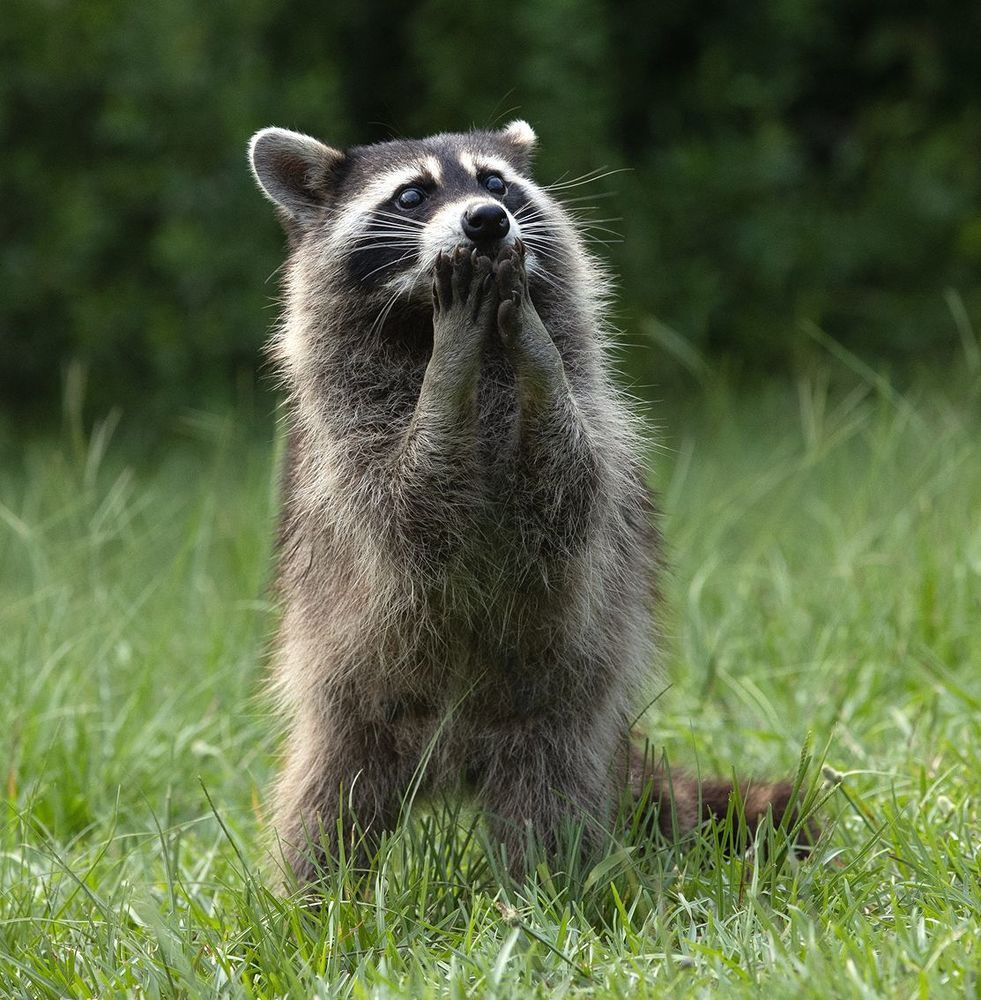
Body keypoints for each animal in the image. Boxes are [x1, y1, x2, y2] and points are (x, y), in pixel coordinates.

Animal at [248, 121, 806, 884]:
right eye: (413, 195)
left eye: (495, 183)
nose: (487, 221)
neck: (438, 324)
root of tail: (453, 770)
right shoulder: (348, 447)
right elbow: (409, 509)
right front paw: (446, 376)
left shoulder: (597, 429)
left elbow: (568, 488)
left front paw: (535, 350)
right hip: (353, 702)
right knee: (325, 807)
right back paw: (312, 901)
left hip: (557, 713)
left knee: (546, 806)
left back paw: (544, 893)